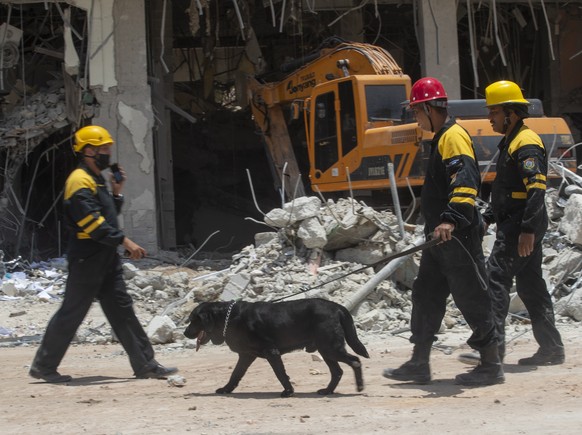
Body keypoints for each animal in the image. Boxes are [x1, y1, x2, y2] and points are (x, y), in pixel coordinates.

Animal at [185, 300, 372, 398]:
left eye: (193, 320)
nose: (185, 333)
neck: (229, 318)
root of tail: (338, 307)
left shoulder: (271, 352)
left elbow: (280, 374)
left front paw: (288, 391)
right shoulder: (246, 355)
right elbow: (235, 374)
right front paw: (226, 389)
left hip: (330, 348)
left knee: (355, 361)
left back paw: (360, 386)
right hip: (326, 350)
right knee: (338, 371)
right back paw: (327, 391)